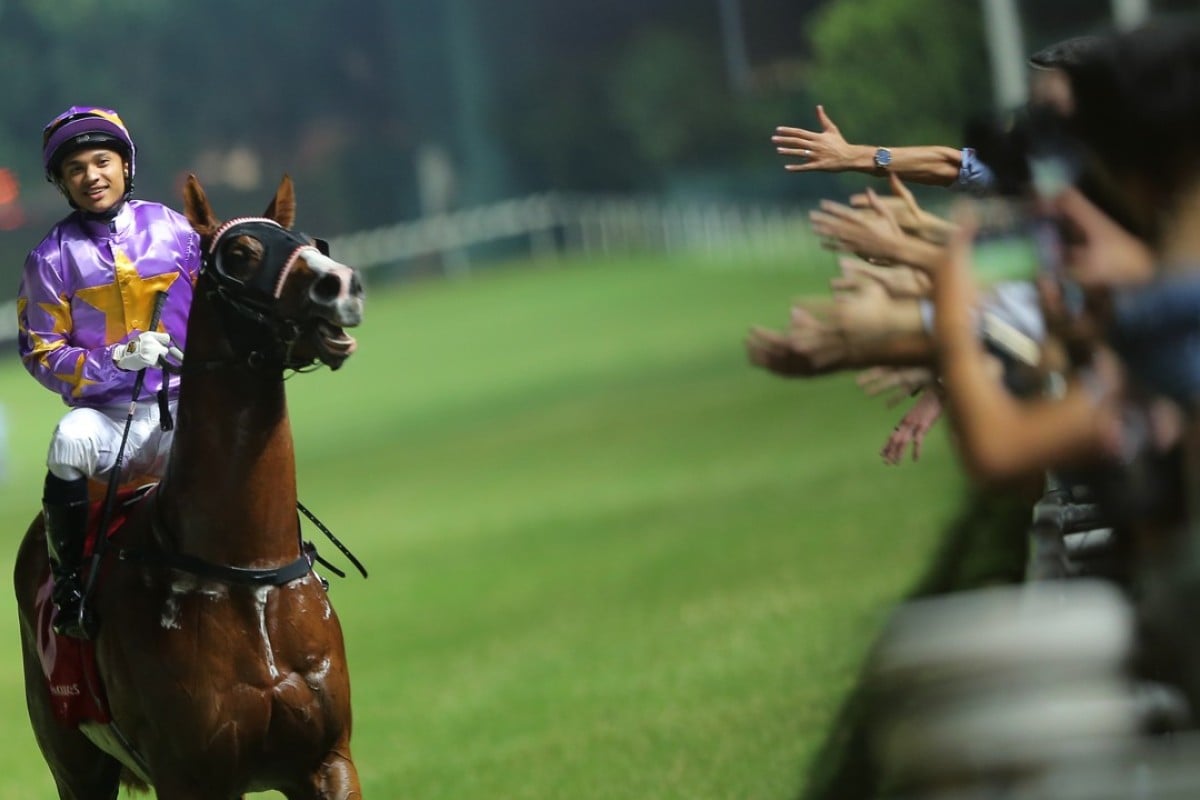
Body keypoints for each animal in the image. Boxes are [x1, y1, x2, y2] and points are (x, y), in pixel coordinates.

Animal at [12, 176, 364, 800]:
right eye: (240, 254)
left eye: (309, 241)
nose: (341, 284)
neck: (244, 572)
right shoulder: (189, 775)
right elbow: (46, 345)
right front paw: (138, 350)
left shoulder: (328, 761)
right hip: (75, 762)